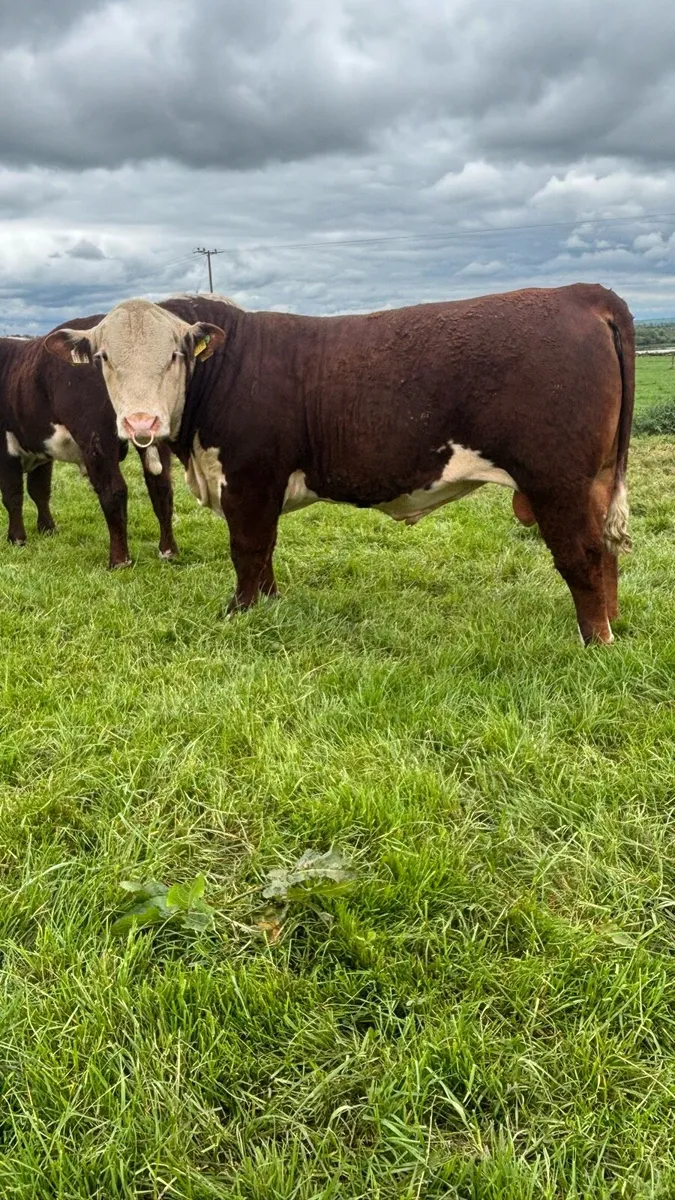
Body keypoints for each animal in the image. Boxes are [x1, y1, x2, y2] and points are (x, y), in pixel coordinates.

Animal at [0, 316, 178, 566]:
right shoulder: (41, 451)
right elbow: (39, 491)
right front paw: (48, 528)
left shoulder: (6, 449)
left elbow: (12, 495)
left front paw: (16, 538)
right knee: (161, 487)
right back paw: (168, 551)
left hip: (96, 440)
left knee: (113, 491)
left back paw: (119, 560)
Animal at [45, 284, 635, 644]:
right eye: (104, 358)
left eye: (175, 355)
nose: (140, 422)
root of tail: (581, 293)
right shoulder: (262, 485)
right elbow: (265, 548)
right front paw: (268, 601)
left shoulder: (249, 476)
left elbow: (246, 547)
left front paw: (240, 610)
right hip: (596, 480)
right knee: (607, 552)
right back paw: (614, 622)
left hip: (556, 480)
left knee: (582, 554)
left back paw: (595, 641)